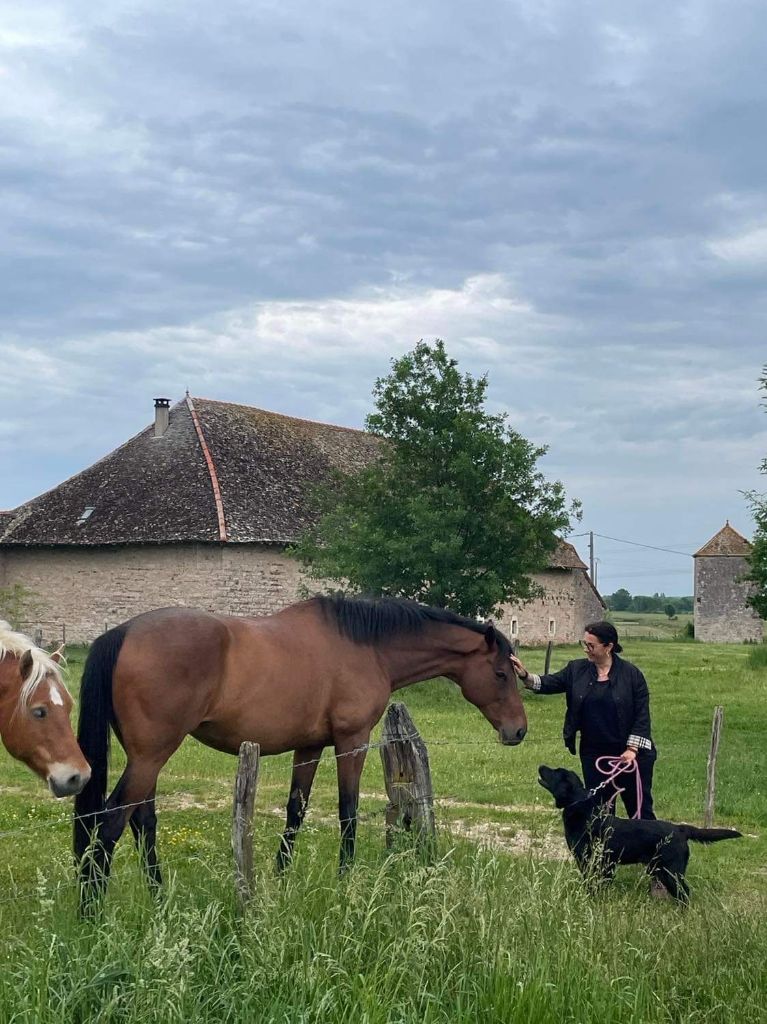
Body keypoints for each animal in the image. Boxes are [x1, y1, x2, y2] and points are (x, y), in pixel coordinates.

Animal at [73, 593, 528, 905]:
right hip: (151, 757)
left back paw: (158, 897)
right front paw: (346, 881)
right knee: (110, 824)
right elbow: (348, 812)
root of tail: (123, 633)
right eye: (501, 674)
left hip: (145, 760)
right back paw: (93, 911)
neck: (366, 647)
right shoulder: (352, 741)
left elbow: (296, 811)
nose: (519, 731)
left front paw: (282, 879)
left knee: (141, 821)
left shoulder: (309, 747)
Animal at [536, 765, 737, 901]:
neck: (581, 807)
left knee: (685, 893)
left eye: (555, 771)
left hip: (671, 871)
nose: (541, 766)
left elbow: (591, 883)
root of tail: (680, 828)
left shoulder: (588, 860)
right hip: (660, 869)